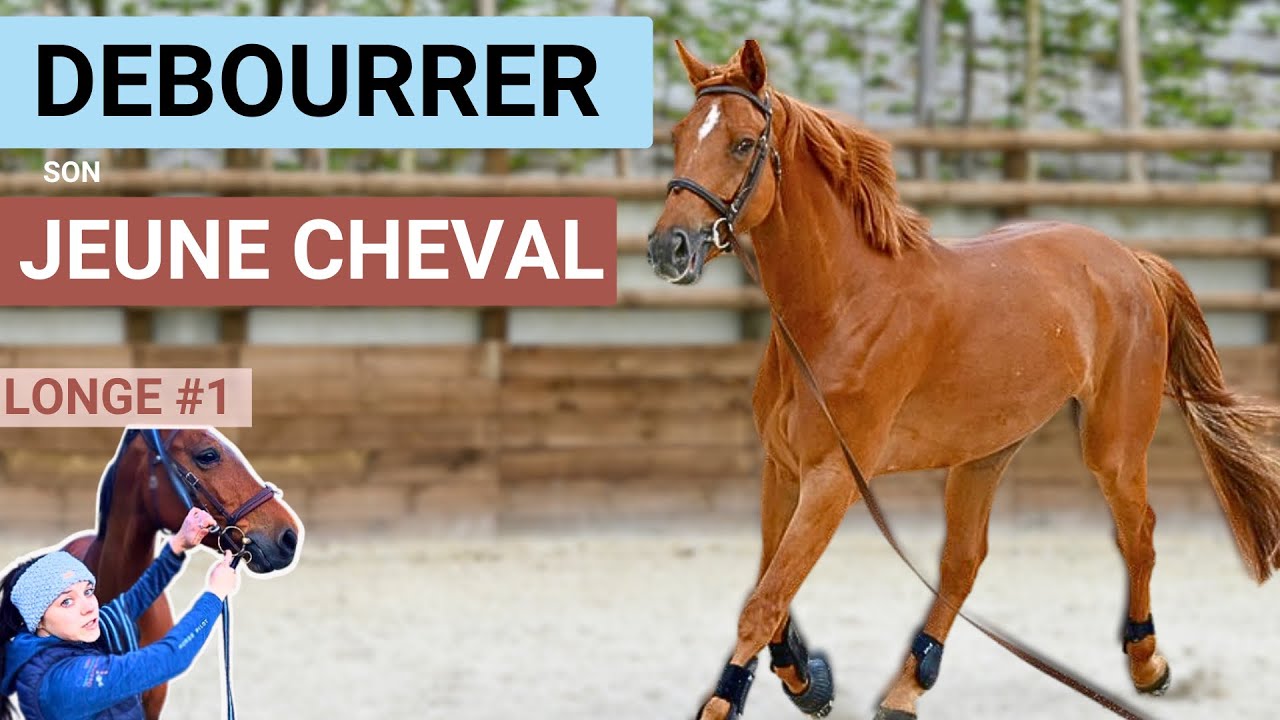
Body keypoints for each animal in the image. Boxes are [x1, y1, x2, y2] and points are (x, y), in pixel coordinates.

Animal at [647, 38, 1280, 720]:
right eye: (680, 135)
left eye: (742, 143)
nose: (668, 249)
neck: (842, 308)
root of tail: (1128, 260)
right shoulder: (782, 468)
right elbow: (773, 590)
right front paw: (808, 679)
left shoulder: (833, 479)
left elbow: (763, 601)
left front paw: (728, 701)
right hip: (986, 452)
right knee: (963, 561)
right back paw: (908, 685)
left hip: (1111, 446)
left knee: (1138, 533)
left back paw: (1147, 664)